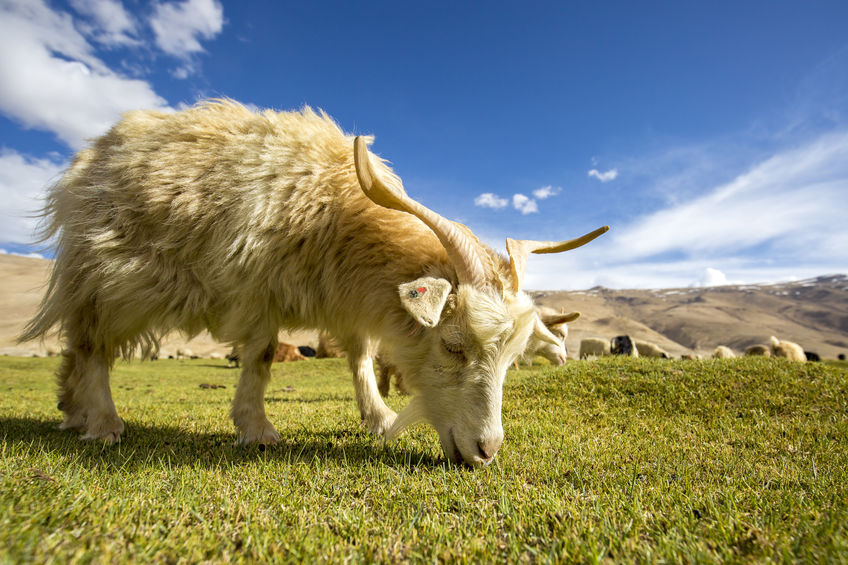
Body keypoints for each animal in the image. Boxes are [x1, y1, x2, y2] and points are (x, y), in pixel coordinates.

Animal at [19, 99, 608, 464]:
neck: (333, 208)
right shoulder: (255, 287)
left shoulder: (349, 303)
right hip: (109, 274)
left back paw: (71, 411)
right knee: (92, 345)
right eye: (453, 344)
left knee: (77, 347)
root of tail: (94, 151)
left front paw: (378, 418)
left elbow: (362, 358)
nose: (487, 451)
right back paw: (102, 421)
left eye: (511, 359)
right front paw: (257, 430)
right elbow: (259, 357)